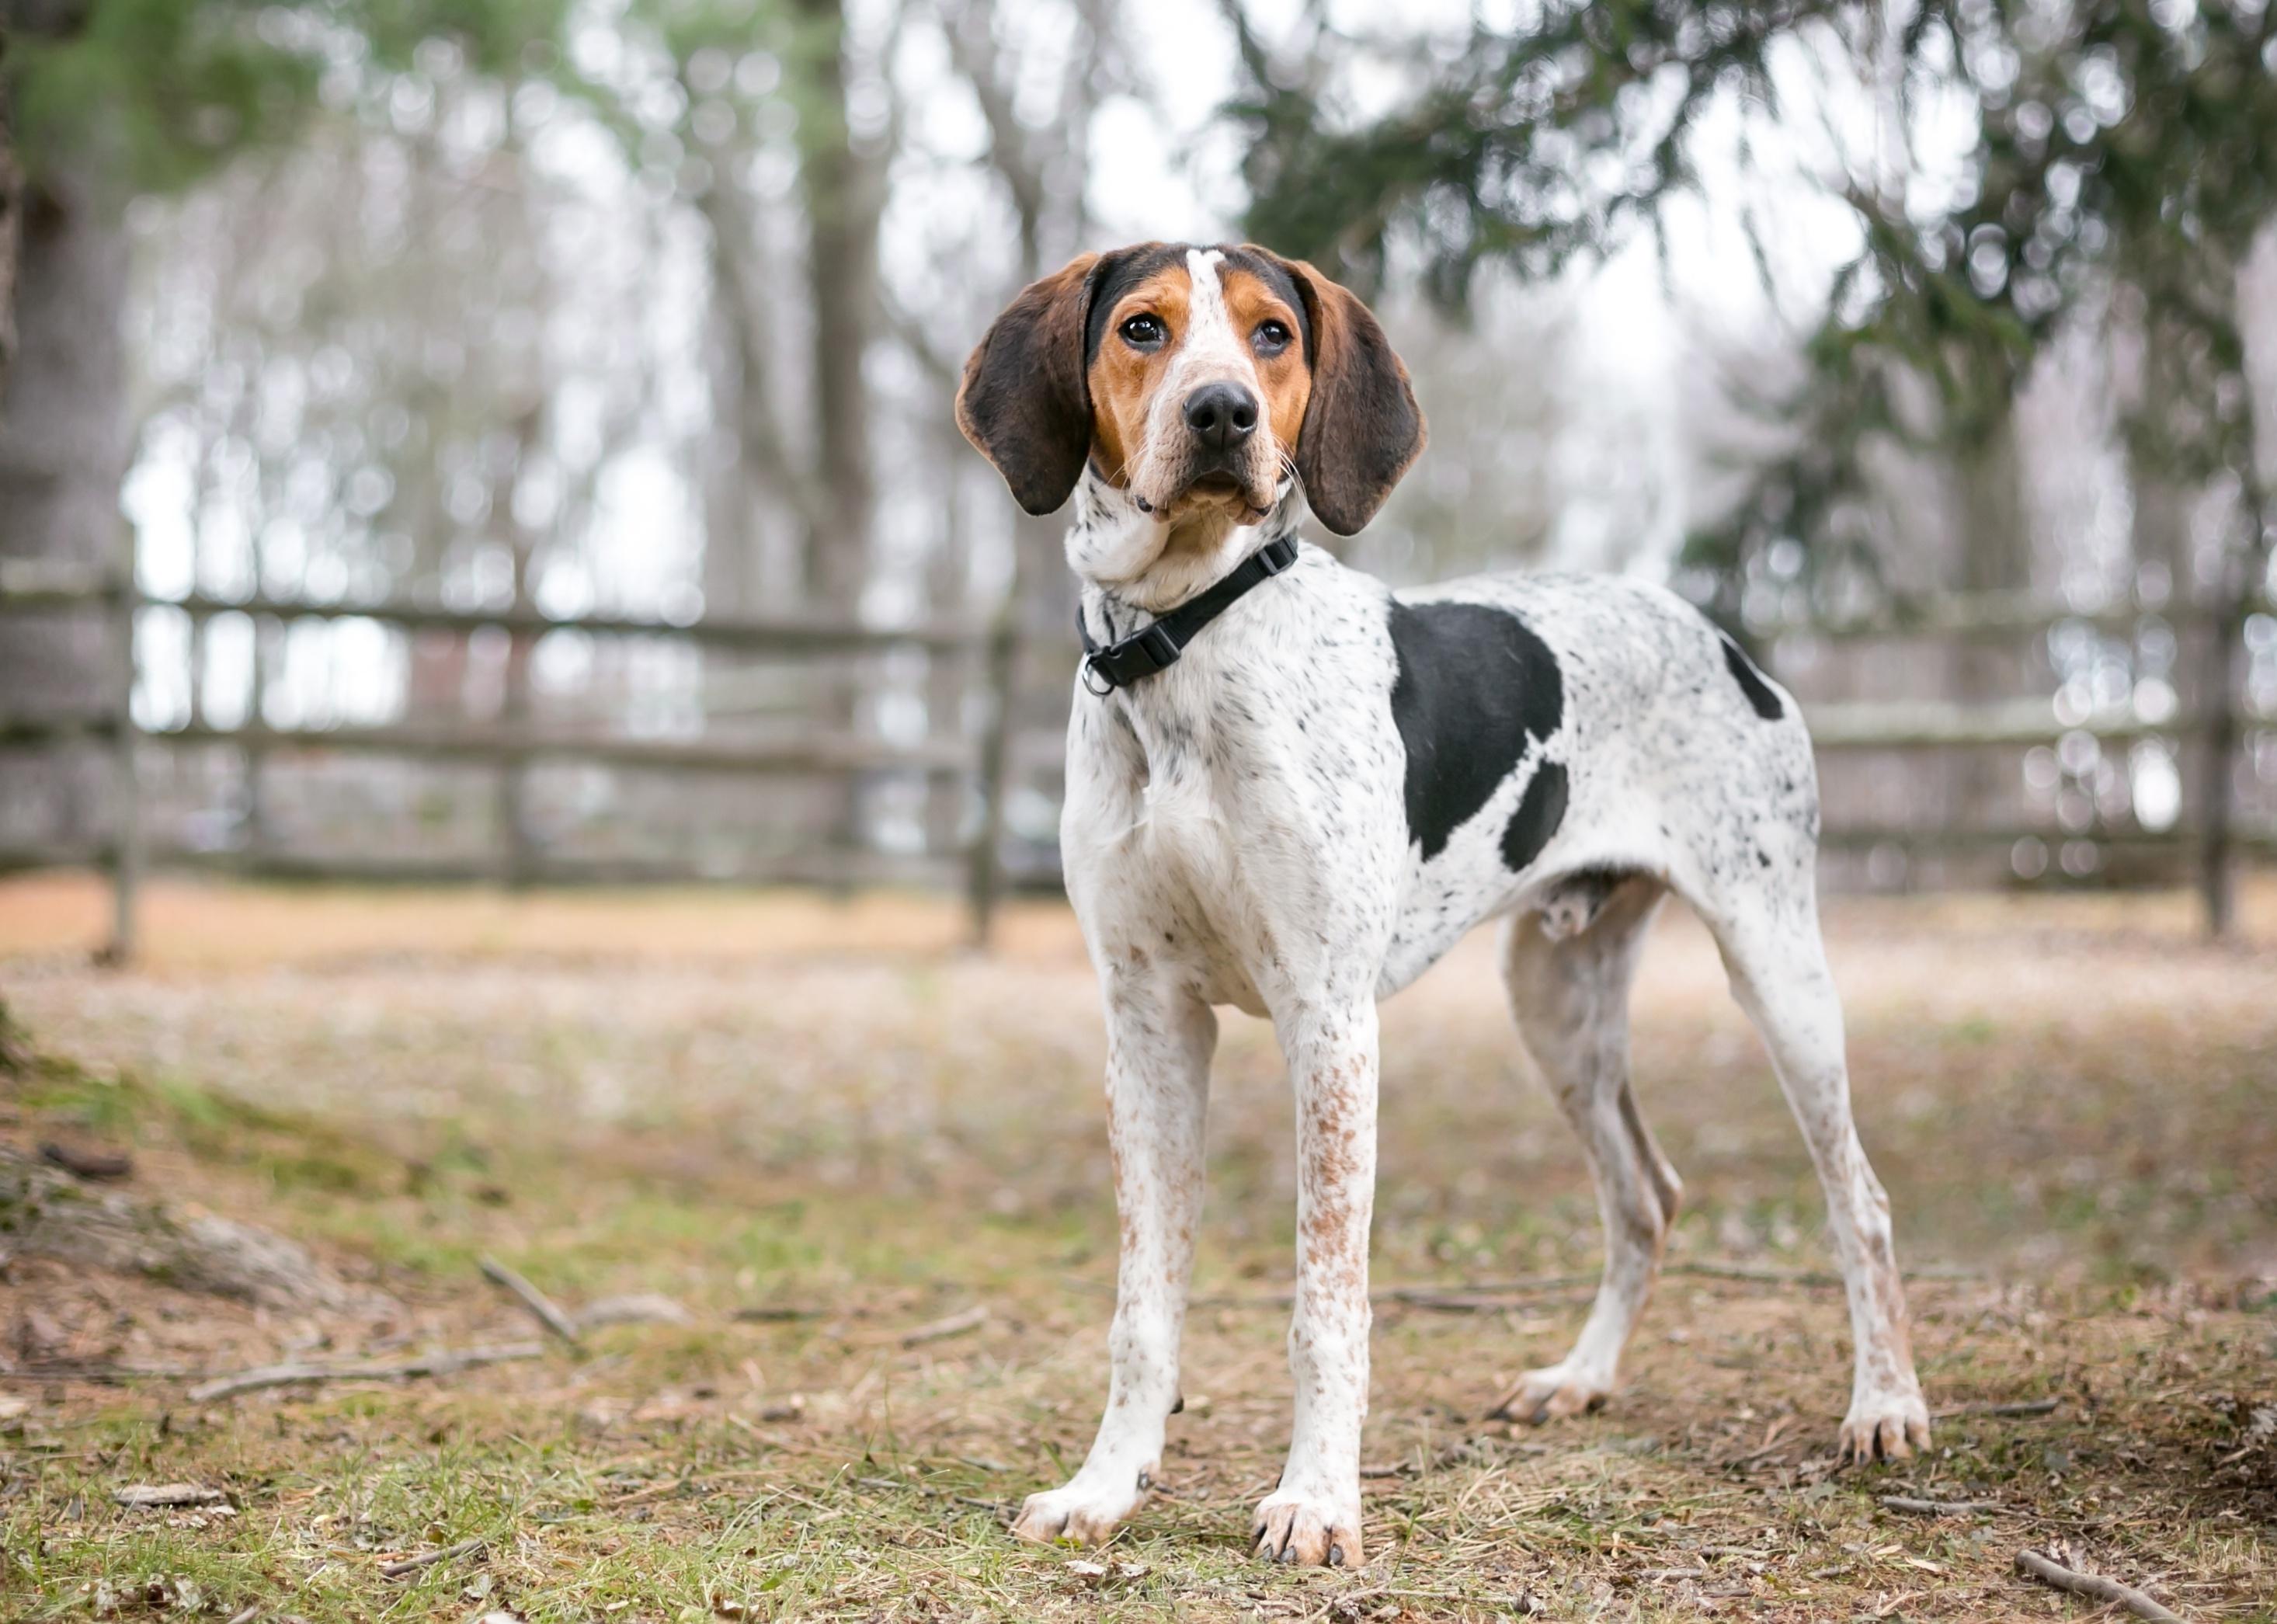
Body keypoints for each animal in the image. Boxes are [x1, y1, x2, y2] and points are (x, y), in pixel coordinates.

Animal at [951, 243, 1931, 1567]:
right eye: (1144, 328)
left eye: (1271, 333)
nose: (1224, 415)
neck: (1183, 643)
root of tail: (1721, 635)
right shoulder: (1147, 1022)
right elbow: (1142, 1306)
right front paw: (1107, 1484)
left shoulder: (1329, 1022)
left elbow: (1327, 1303)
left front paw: (1316, 1500)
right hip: (1556, 1003)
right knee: (1647, 1194)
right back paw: (1581, 1376)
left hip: (1777, 968)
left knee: (1858, 1201)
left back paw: (1885, 1404)